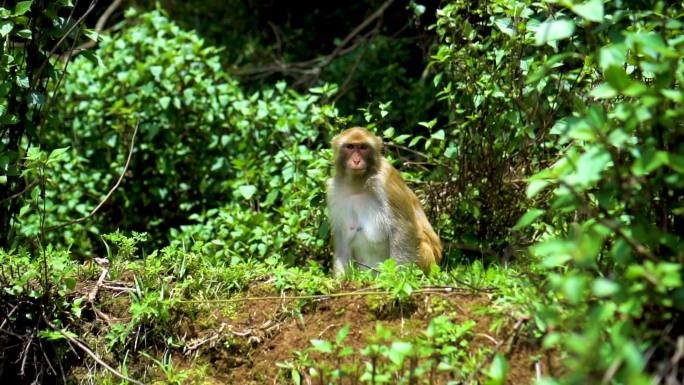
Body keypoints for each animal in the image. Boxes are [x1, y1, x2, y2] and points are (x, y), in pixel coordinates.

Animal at [328, 125, 444, 272]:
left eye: (363, 147)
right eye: (350, 146)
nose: (356, 161)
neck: (358, 184)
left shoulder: (385, 180)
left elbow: (403, 229)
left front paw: (397, 276)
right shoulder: (333, 190)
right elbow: (342, 241)